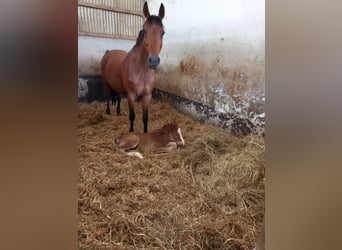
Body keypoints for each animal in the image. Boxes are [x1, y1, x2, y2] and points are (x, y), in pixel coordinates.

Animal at [101, 1, 165, 133]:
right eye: (144, 31)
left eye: (163, 33)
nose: (153, 61)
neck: (141, 70)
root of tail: (108, 52)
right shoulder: (131, 95)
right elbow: (132, 116)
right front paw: (131, 132)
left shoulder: (147, 96)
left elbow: (145, 117)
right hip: (106, 83)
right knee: (108, 96)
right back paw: (108, 111)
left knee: (118, 97)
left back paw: (118, 111)